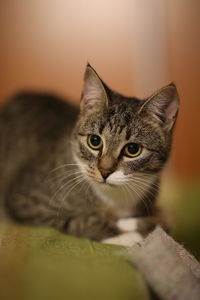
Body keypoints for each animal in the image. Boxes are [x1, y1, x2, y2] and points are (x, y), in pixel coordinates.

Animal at [0, 63, 179, 246]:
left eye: (132, 149)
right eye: (94, 140)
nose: (105, 171)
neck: (114, 198)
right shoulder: (26, 201)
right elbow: (79, 219)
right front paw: (126, 234)